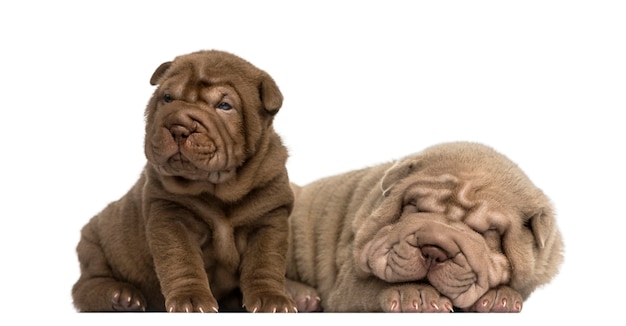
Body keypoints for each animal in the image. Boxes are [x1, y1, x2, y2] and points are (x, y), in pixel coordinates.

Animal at [72, 50, 296, 314]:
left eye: (224, 106)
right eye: (168, 98)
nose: (178, 126)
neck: (218, 189)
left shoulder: (269, 218)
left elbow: (265, 263)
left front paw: (273, 299)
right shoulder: (171, 216)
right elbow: (182, 259)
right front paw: (191, 299)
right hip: (93, 244)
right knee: (86, 285)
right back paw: (121, 296)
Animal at [286, 141, 564, 312]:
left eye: (488, 232)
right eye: (414, 206)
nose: (434, 249)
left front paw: (500, 298)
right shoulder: (348, 281)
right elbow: (370, 285)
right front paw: (416, 295)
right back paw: (301, 297)